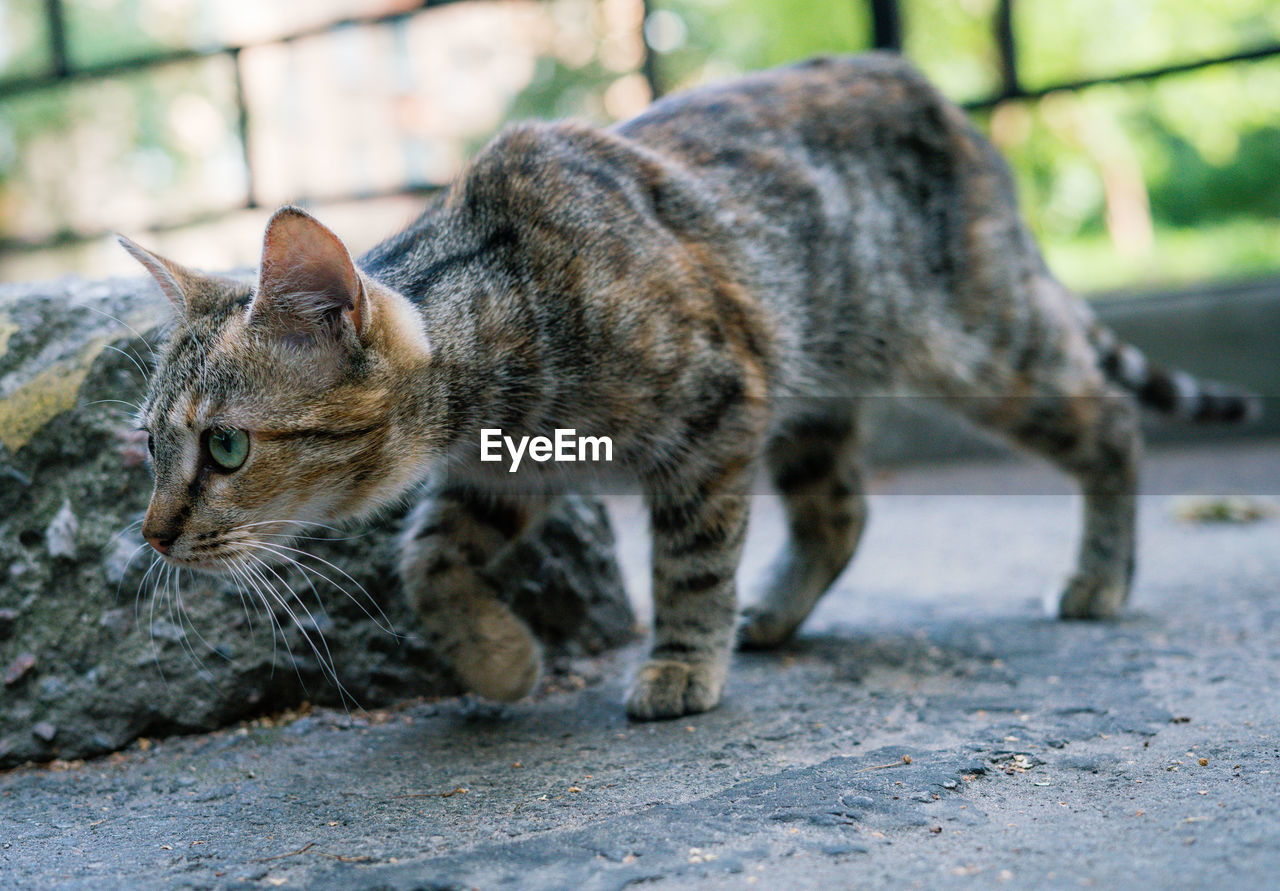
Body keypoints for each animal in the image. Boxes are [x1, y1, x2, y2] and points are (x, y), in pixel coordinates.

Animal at [124, 55, 1254, 722]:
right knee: (840, 510)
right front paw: (498, 660)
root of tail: (937, 94)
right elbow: (426, 560)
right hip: (812, 383)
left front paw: (678, 659)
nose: (152, 533)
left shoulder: (716, 412)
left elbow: (691, 558)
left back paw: (1100, 576)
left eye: (224, 446)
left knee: (1109, 420)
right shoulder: (510, 470)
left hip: (979, 345)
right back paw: (780, 611)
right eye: (149, 446)